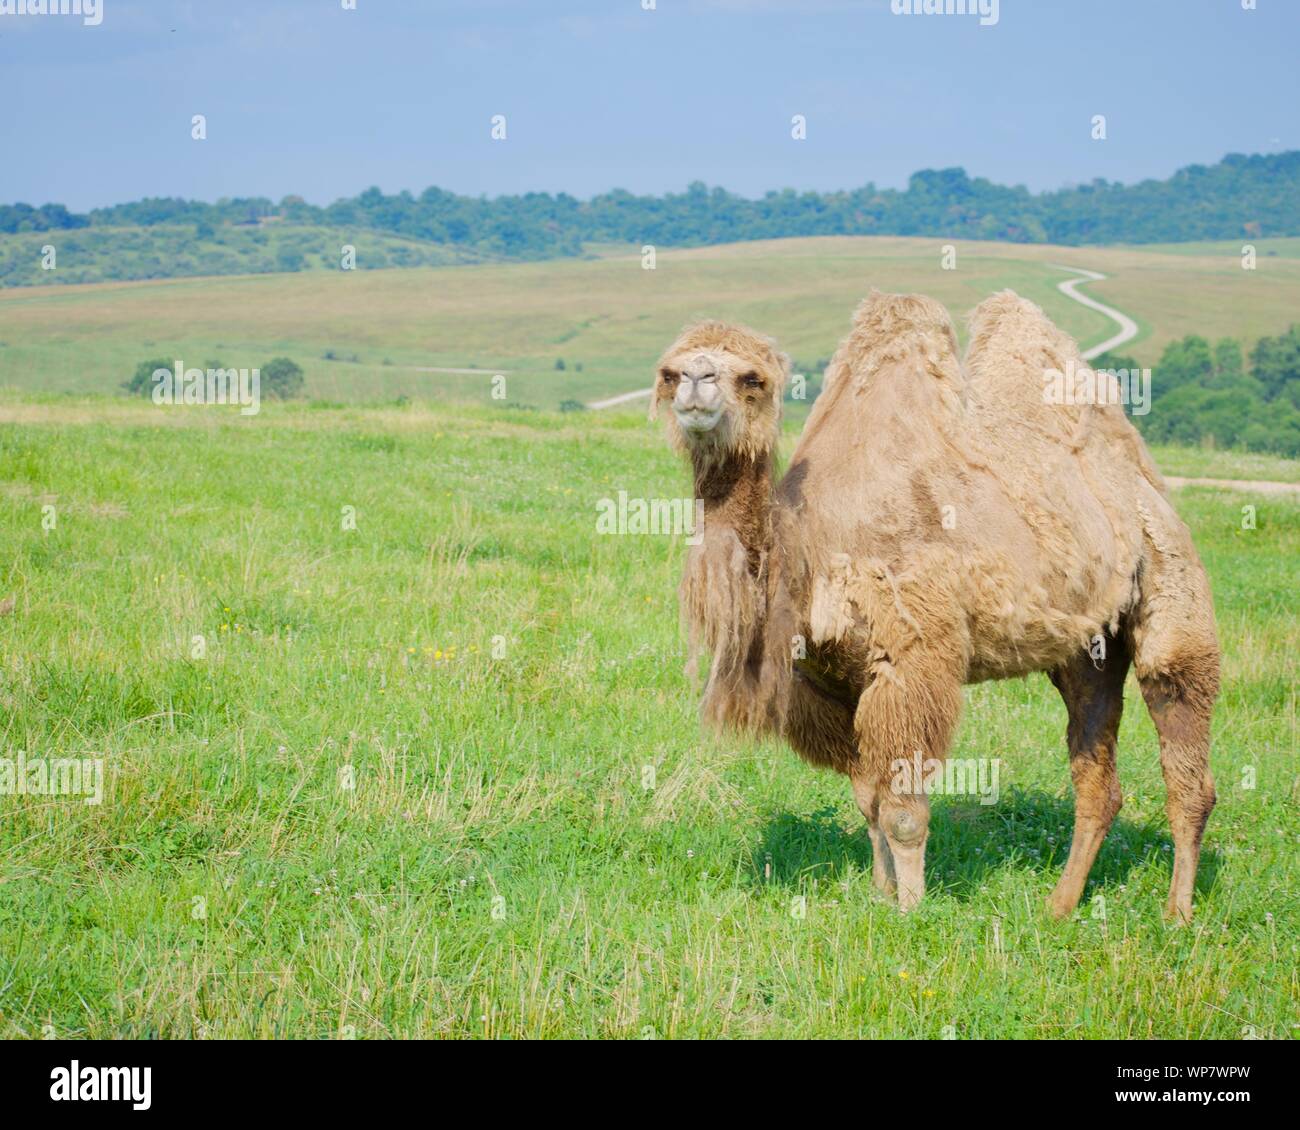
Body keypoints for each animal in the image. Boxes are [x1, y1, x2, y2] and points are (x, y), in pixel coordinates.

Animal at [655, 288, 1222, 915]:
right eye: (670, 371)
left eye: (751, 378)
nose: (697, 384)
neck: (805, 552)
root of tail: (1147, 483)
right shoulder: (830, 682)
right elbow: (867, 799)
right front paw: (879, 893)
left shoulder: (912, 660)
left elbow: (903, 811)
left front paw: (910, 910)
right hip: (1087, 646)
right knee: (1097, 770)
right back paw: (1059, 907)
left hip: (1172, 577)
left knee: (1182, 730)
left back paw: (1177, 913)